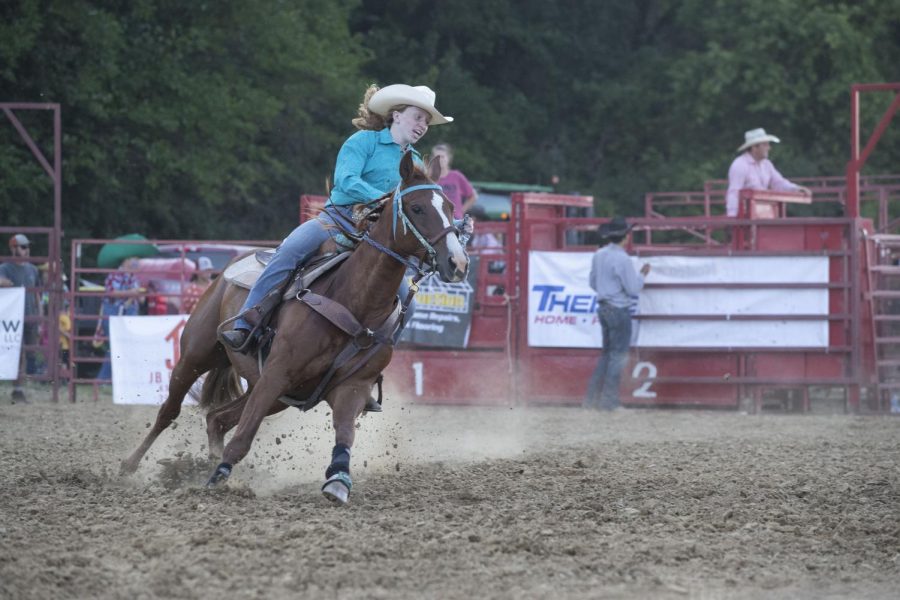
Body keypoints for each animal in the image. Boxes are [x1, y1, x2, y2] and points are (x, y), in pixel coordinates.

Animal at [119, 152, 468, 504]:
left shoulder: (352, 387)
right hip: (198, 355)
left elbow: (345, 435)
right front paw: (216, 481)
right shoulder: (277, 372)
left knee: (217, 418)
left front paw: (338, 481)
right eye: (417, 208)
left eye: (451, 206)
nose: (458, 263)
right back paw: (129, 466)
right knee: (169, 412)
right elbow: (243, 437)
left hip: (274, 392)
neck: (353, 299)